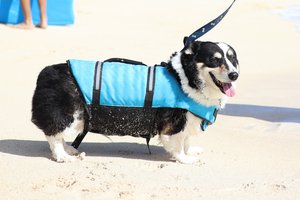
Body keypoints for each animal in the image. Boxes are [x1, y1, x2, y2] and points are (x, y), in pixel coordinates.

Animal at [31, 41, 239, 164]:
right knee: (53, 135)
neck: (185, 79)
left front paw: (191, 152)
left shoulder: (188, 122)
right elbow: (178, 145)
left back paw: (70, 149)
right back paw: (63, 156)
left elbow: (187, 141)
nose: (234, 75)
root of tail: (46, 72)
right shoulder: (174, 125)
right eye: (214, 60)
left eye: (233, 59)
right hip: (68, 115)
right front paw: (184, 159)